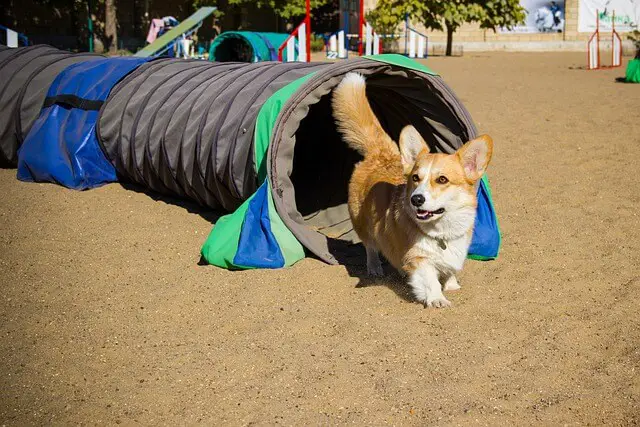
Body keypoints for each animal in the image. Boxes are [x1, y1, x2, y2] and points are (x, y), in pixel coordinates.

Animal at [332, 73, 492, 308]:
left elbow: (451, 268)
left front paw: (452, 285)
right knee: (370, 246)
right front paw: (437, 299)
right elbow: (430, 278)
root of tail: (380, 153)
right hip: (362, 222)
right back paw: (375, 268)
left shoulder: (457, 249)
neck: (441, 232)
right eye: (416, 178)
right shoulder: (418, 258)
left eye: (442, 179)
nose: (416, 199)